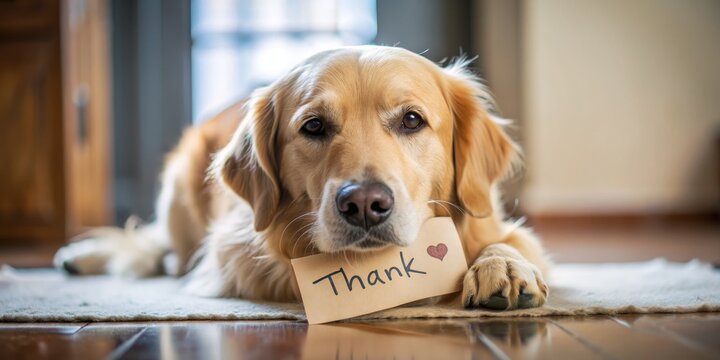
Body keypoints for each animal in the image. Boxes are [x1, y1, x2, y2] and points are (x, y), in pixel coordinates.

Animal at [56, 45, 548, 310]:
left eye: (412, 120)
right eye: (313, 126)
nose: (364, 204)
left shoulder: (495, 223)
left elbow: (508, 242)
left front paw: (503, 267)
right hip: (177, 192)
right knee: (163, 247)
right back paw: (83, 256)